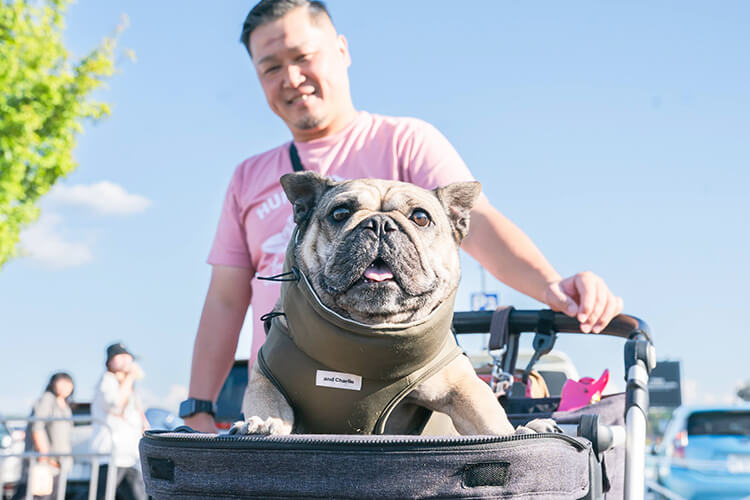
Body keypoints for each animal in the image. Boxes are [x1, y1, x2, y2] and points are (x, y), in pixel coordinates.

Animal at [232, 172, 556, 438]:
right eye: (340, 213)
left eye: (421, 217)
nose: (379, 223)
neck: (369, 333)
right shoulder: (264, 379)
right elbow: (270, 402)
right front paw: (264, 423)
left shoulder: (462, 387)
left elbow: (489, 419)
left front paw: (519, 430)